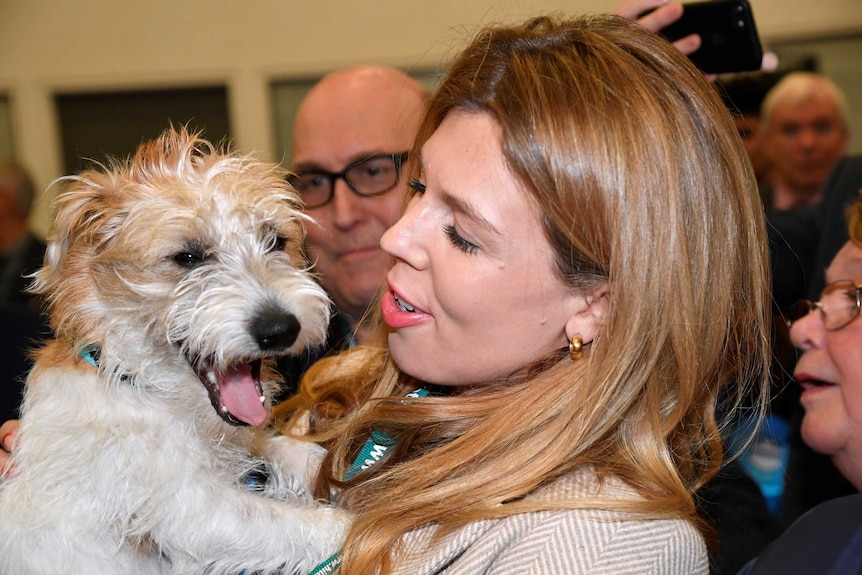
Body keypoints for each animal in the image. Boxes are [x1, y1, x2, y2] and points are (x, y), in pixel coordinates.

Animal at [0, 128, 352, 572]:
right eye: (187, 257)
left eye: (275, 241)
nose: (280, 329)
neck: (140, 385)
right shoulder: (195, 509)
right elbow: (308, 524)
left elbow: (283, 444)